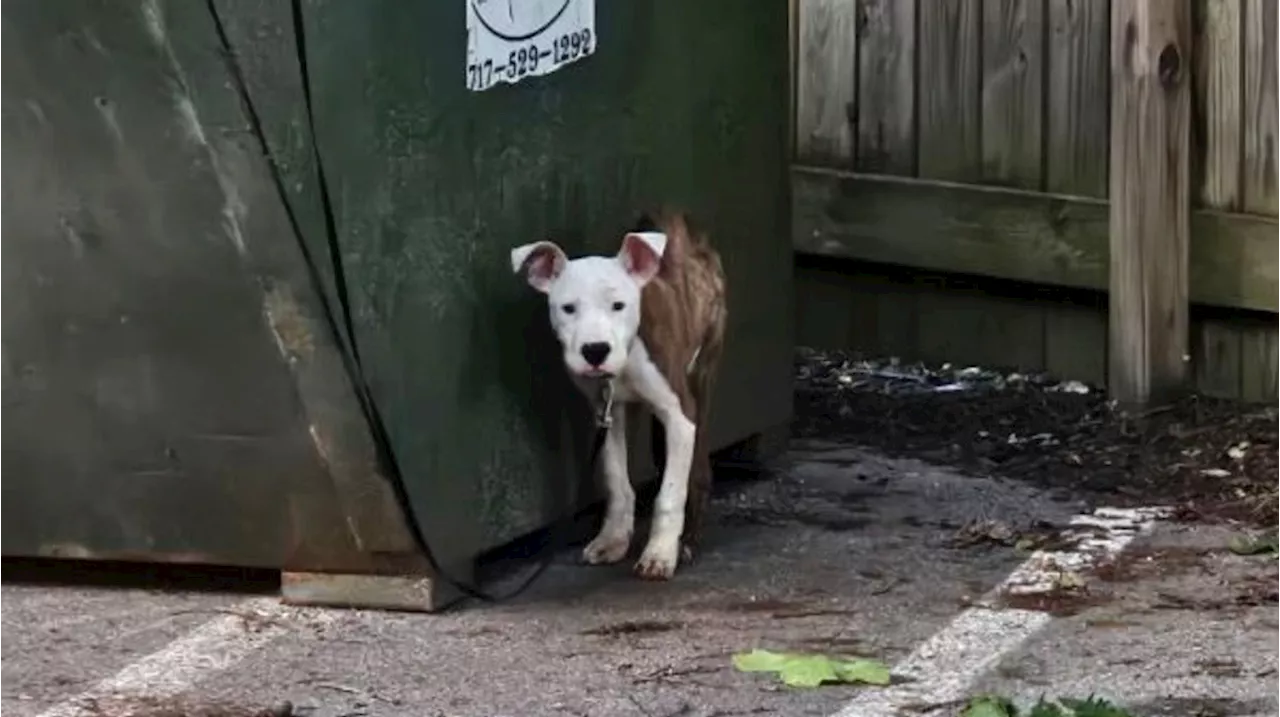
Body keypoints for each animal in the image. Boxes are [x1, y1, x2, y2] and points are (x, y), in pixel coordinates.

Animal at [512, 209, 732, 578]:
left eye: (618, 305)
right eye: (567, 308)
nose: (595, 350)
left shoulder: (680, 414)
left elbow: (670, 492)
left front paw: (660, 553)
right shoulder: (606, 412)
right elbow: (616, 478)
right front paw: (612, 540)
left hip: (703, 375)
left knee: (699, 470)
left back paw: (687, 540)